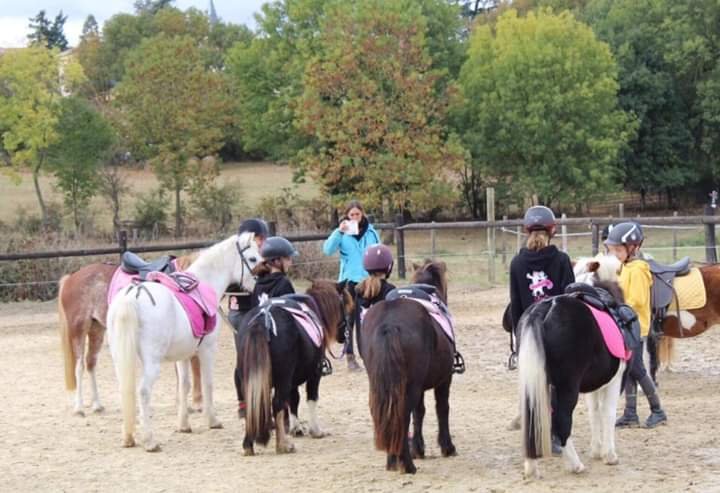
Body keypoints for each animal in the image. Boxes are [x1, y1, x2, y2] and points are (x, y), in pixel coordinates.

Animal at [57, 253, 205, 416]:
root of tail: (70, 278)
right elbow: (194, 366)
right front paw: (195, 404)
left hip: (97, 329)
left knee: (91, 363)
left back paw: (97, 404)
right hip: (78, 329)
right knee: (79, 367)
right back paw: (79, 408)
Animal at [106, 232, 261, 451]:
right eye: (253, 259)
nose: (257, 284)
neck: (205, 283)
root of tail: (132, 296)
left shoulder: (183, 355)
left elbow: (184, 386)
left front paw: (184, 425)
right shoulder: (207, 350)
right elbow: (207, 383)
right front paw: (212, 421)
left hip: (120, 358)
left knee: (125, 390)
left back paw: (129, 437)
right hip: (152, 363)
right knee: (143, 392)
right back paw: (150, 441)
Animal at [238, 280, 348, 456]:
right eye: (344, 304)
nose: (344, 335)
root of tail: (262, 321)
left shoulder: (292, 380)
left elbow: (294, 400)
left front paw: (296, 428)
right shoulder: (314, 374)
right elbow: (311, 398)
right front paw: (315, 431)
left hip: (249, 378)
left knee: (252, 403)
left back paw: (249, 444)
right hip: (284, 378)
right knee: (277, 403)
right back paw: (283, 445)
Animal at [360, 259, 456, 474]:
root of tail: (389, 323)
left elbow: (419, 412)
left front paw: (418, 448)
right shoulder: (444, 380)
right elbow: (441, 408)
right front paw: (446, 446)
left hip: (382, 385)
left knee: (386, 415)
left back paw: (392, 460)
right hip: (410, 386)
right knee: (401, 416)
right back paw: (406, 464)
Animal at [519, 255, 627, 479]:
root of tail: (544, 309)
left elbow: (594, 412)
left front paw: (596, 450)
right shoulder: (614, 380)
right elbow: (608, 412)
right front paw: (609, 455)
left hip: (536, 383)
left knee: (533, 417)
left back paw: (531, 466)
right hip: (567, 386)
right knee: (561, 419)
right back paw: (575, 464)